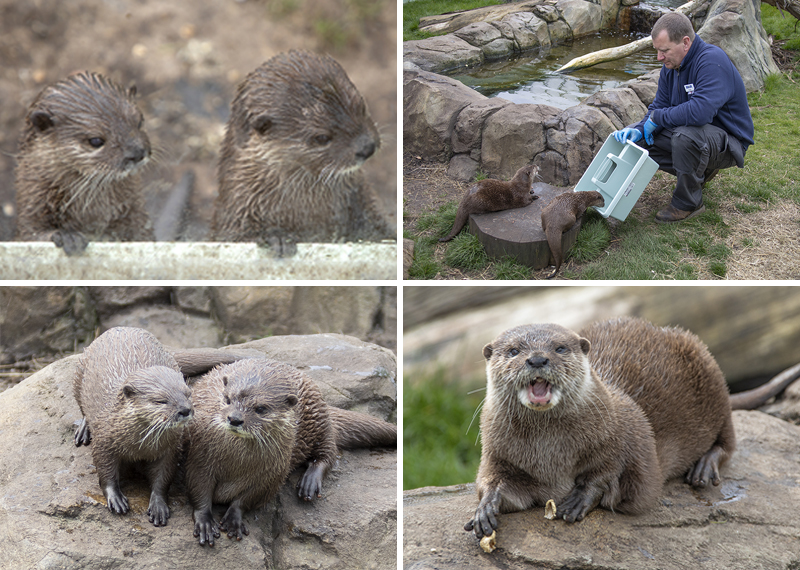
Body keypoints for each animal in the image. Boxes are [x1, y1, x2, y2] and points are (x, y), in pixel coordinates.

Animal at [15, 71, 154, 255]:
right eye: (96, 141)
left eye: (139, 121)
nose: (137, 153)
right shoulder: (32, 203)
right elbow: (30, 233)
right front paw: (68, 237)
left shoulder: (135, 211)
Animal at [73, 327, 193, 527]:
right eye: (160, 400)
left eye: (188, 394)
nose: (185, 409)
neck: (139, 446)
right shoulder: (104, 440)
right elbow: (105, 470)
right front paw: (115, 498)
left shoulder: (171, 449)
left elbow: (164, 477)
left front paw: (158, 505)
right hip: (78, 373)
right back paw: (83, 430)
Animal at [185, 358, 397, 546]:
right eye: (227, 399)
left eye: (260, 408)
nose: (234, 418)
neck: (235, 463)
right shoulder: (199, 456)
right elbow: (198, 487)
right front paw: (204, 522)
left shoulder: (273, 474)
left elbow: (250, 497)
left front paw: (234, 518)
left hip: (319, 419)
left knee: (329, 452)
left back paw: (310, 482)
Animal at [211, 50, 394, 254]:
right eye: (322, 137)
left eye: (361, 106)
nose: (367, 147)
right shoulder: (235, 214)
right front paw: (275, 238)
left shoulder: (365, 202)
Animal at [464, 317, 736, 539]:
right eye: (514, 351)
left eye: (560, 348)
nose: (538, 359)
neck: (551, 457)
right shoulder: (498, 454)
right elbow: (496, 484)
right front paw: (485, 507)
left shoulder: (629, 435)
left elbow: (611, 471)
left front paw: (581, 496)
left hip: (712, 376)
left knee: (727, 441)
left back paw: (704, 467)